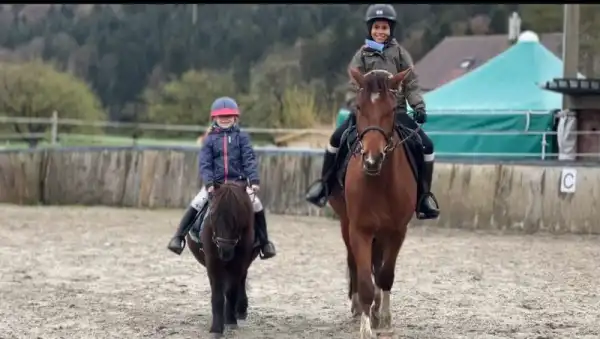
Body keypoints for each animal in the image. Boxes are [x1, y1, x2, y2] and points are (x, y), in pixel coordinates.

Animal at [186, 185, 258, 338]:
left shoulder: (239, 263)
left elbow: (231, 291)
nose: (225, 251)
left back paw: (240, 310)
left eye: (239, 214)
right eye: (212, 214)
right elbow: (218, 295)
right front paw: (216, 328)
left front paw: (230, 321)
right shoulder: (213, 263)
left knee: (241, 281)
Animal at [328, 67, 418, 338]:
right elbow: (366, 278)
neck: (380, 182)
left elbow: (385, 274)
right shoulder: (360, 230)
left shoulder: (398, 231)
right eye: (358, 107)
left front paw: (384, 317)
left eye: (391, 109)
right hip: (346, 224)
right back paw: (359, 306)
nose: (372, 159)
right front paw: (366, 325)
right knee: (354, 263)